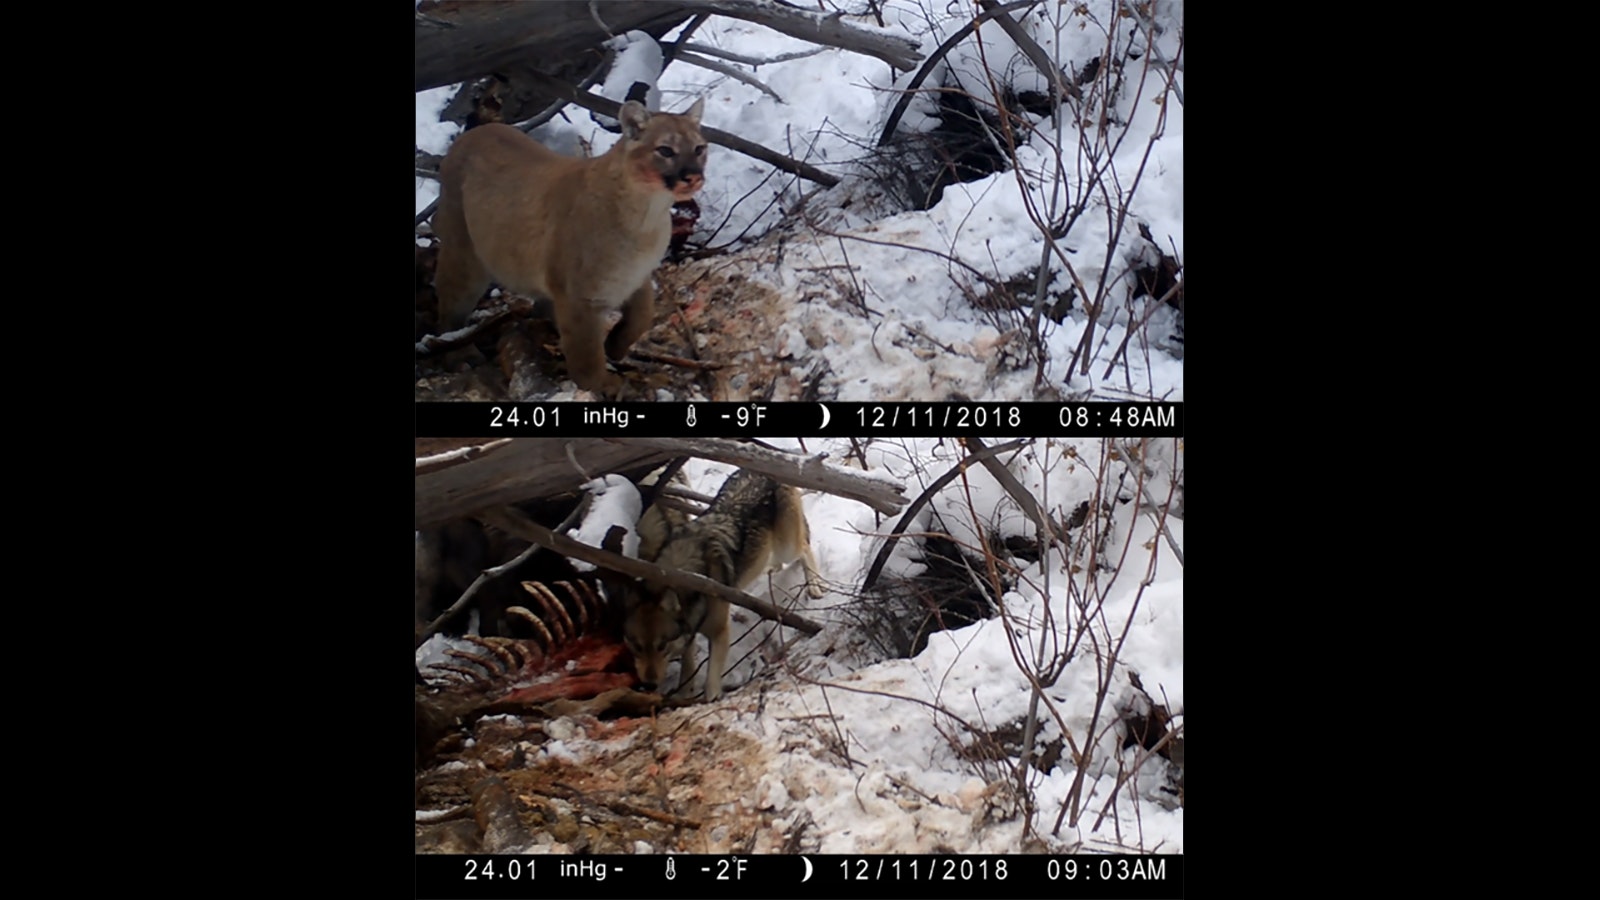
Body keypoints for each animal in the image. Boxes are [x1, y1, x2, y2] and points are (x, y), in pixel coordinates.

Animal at [621, 469, 825, 701]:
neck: (687, 573)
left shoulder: (720, 633)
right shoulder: (689, 629)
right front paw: (684, 693)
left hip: (787, 547)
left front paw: (710, 698)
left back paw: (814, 584)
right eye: (636, 646)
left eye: (661, 646)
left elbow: (711, 680)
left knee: (805, 548)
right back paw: (772, 569)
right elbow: (687, 666)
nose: (648, 685)